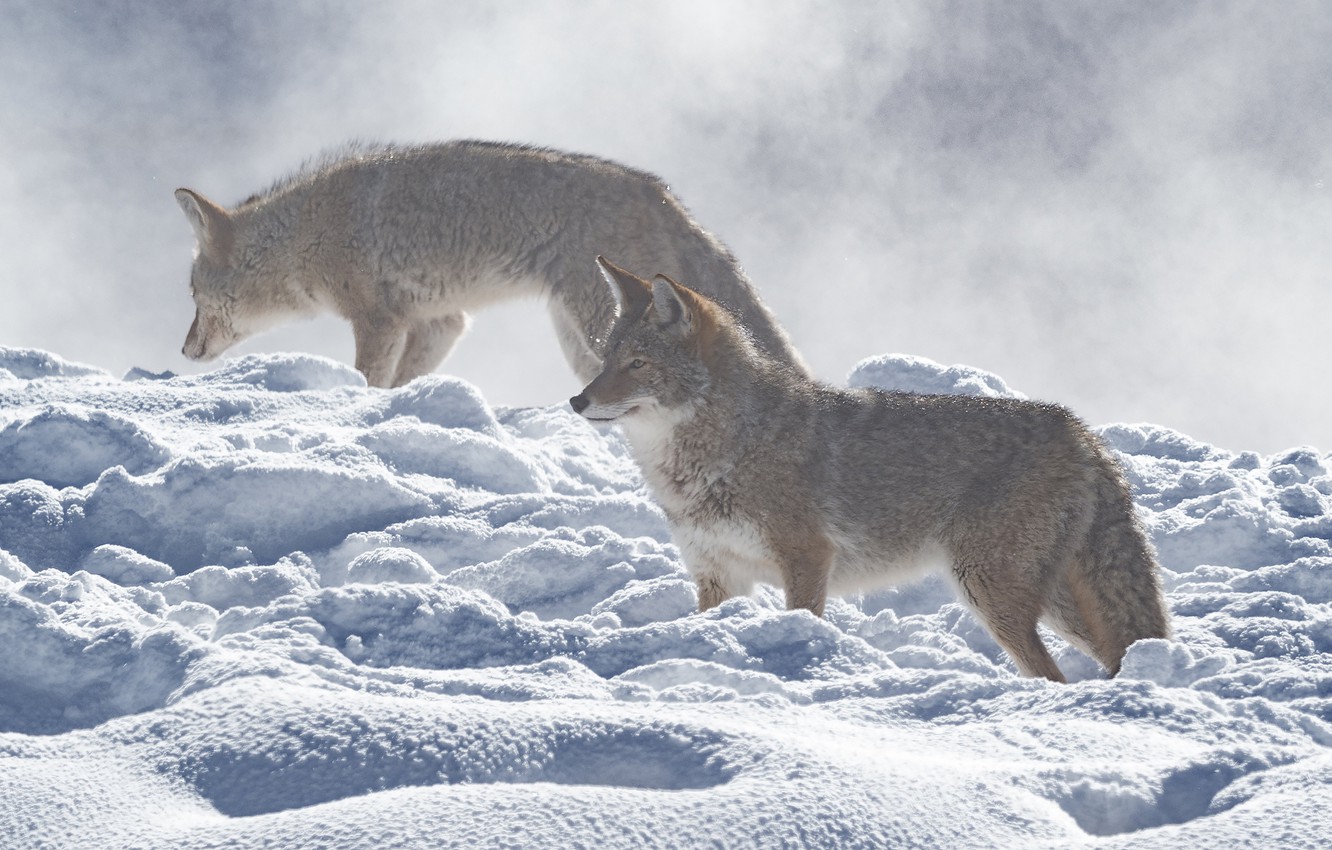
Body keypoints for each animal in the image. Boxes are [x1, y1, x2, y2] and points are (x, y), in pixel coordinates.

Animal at [174, 141, 805, 388]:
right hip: (578, 341)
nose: (183, 350)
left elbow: (368, 380)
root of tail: (660, 193)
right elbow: (401, 385)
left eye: (193, 298)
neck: (310, 231)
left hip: (595, 332)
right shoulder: (441, 321)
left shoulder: (378, 321)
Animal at [570, 257, 1171, 682]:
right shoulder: (718, 576)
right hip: (1050, 603)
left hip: (990, 591)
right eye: (605, 359)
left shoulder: (807, 560)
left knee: (1054, 675)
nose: (577, 401)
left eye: (638, 364)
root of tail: (1077, 429)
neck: (727, 450)